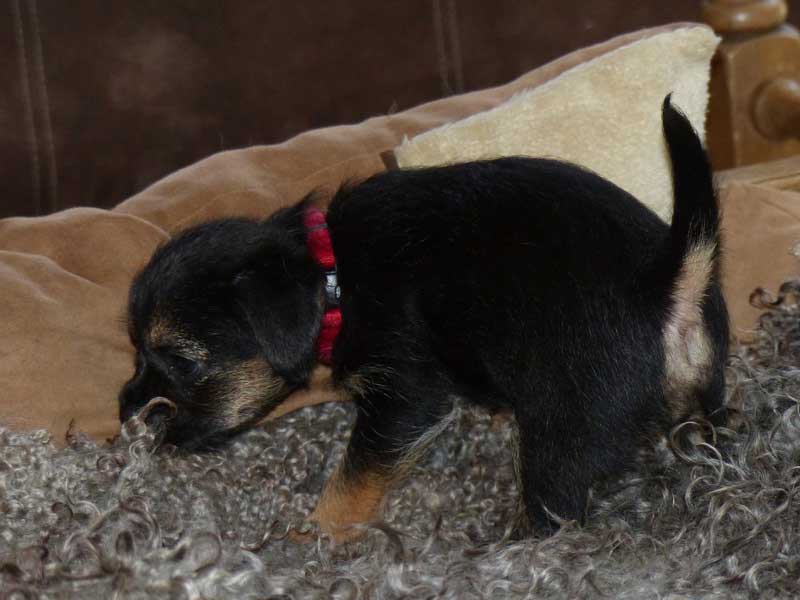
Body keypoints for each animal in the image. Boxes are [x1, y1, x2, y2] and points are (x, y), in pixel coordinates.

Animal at [119, 97, 729, 541]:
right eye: (136, 352)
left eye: (182, 362)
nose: (126, 412)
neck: (333, 274)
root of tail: (663, 282)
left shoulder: (404, 398)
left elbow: (353, 480)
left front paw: (313, 537)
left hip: (562, 432)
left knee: (553, 513)